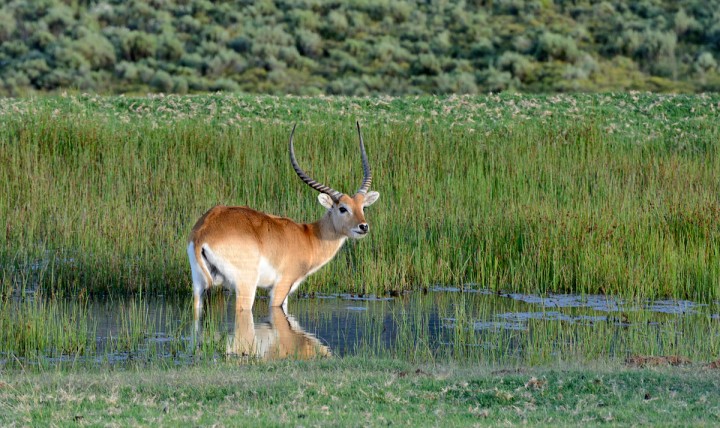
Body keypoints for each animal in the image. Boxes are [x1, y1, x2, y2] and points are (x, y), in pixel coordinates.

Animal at [186, 120, 380, 320]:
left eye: (363, 207)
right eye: (342, 208)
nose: (363, 227)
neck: (309, 236)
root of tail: (203, 233)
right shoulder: (281, 286)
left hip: (198, 284)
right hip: (246, 286)